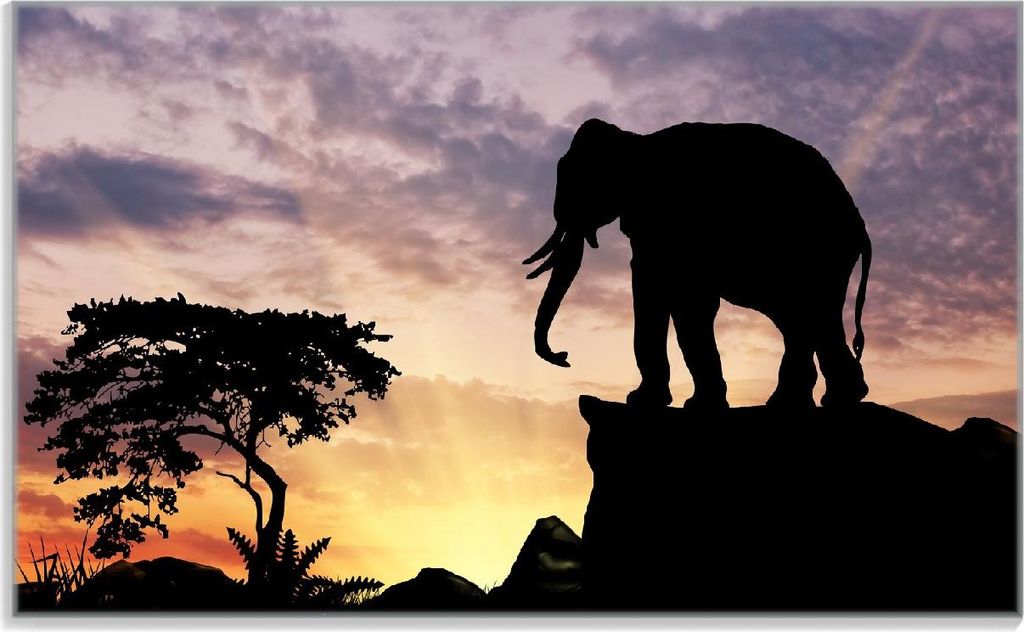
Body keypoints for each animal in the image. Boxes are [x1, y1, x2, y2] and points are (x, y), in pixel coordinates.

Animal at [524, 119, 872, 410]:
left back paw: (811, 402)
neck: (636, 141)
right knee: (806, 319)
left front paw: (648, 402)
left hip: (817, 253)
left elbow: (674, 296)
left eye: (576, 183)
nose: (564, 357)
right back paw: (824, 400)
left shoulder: (671, 221)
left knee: (808, 315)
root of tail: (860, 223)